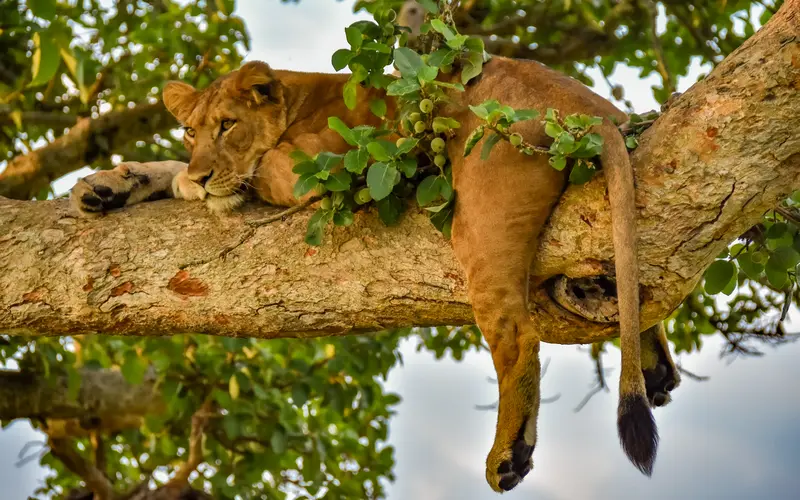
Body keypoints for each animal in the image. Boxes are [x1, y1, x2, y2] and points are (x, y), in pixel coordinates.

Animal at [70, 57, 680, 488]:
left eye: (227, 126)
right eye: (191, 132)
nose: (201, 175)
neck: (298, 96)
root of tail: (590, 110)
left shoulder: (323, 165)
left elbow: (256, 170)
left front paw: (184, 184)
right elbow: (171, 168)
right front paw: (109, 187)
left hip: (483, 213)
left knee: (518, 336)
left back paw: (508, 454)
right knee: (636, 292)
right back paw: (655, 370)